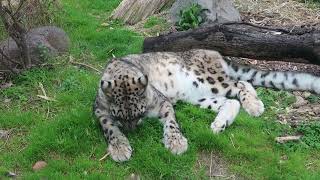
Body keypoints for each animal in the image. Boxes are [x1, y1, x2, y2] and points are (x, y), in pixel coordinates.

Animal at [94, 48, 318, 162]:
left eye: (139, 113)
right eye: (120, 116)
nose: (132, 130)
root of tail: (214, 52)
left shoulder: (162, 101)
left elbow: (171, 122)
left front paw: (176, 143)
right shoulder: (100, 110)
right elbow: (109, 128)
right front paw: (120, 147)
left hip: (210, 80)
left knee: (240, 84)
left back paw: (254, 106)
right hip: (198, 96)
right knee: (232, 100)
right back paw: (220, 124)